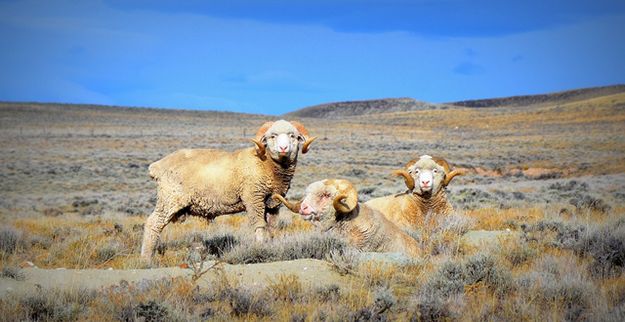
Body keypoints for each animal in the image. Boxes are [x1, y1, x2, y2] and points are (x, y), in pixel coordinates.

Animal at [142, 119, 316, 260]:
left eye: (293, 136)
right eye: (272, 136)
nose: (283, 148)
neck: (266, 164)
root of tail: (156, 166)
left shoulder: (273, 204)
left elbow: (271, 228)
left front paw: (271, 247)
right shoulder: (254, 199)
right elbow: (259, 226)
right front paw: (261, 249)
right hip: (170, 199)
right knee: (153, 223)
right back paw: (147, 258)